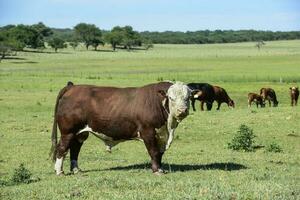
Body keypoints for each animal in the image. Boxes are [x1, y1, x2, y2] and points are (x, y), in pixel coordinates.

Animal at [49, 81, 190, 175]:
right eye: (171, 98)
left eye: (187, 97)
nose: (182, 110)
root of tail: (72, 87)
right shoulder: (148, 132)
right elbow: (154, 152)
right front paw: (157, 171)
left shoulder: (161, 134)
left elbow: (160, 153)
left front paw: (160, 168)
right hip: (68, 132)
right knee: (62, 148)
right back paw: (59, 171)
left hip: (80, 133)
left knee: (75, 148)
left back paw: (76, 169)